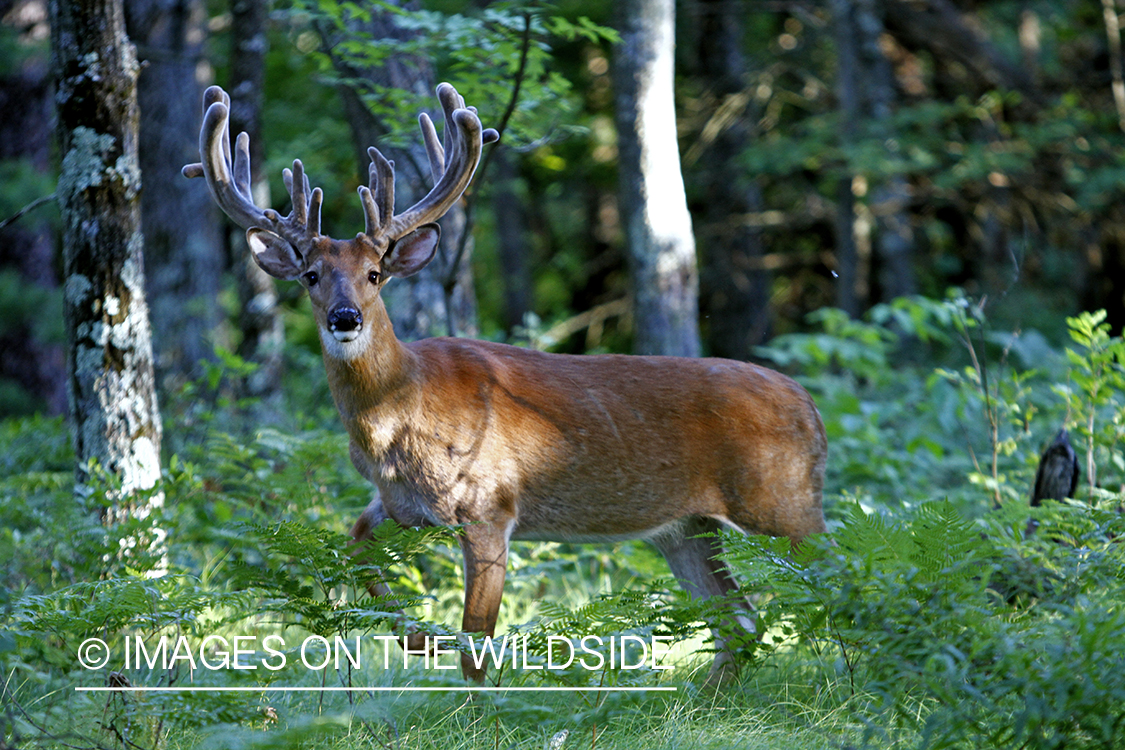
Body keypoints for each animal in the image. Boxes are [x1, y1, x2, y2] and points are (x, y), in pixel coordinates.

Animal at [182, 82, 828, 688]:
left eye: (374, 274)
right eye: (312, 276)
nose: (346, 318)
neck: (402, 408)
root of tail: (811, 410)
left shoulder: (490, 504)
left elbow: (477, 638)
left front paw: (476, 703)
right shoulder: (397, 503)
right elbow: (359, 549)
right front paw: (421, 638)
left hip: (782, 501)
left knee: (833, 579)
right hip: (687, 527)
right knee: (740, 620)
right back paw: (703, 697)